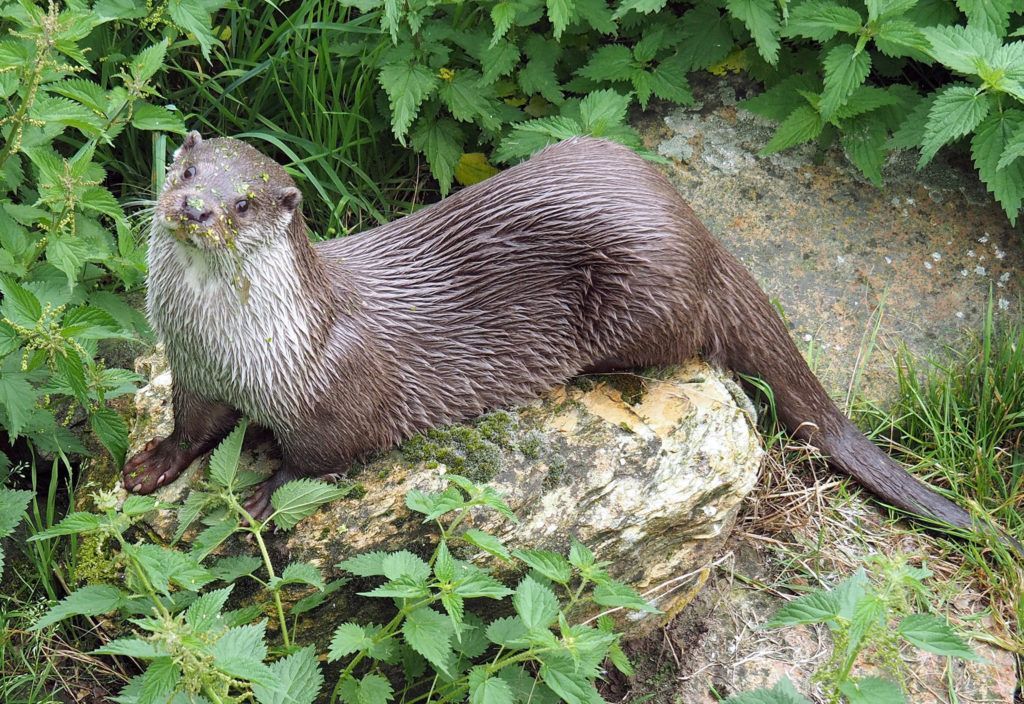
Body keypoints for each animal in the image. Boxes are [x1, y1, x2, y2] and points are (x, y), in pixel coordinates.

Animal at [124, 130, 976, 532]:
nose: (195, 209)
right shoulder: (196, 372)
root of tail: (700, 230)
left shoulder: (338, 394)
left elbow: (321, 459)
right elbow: (191, 428)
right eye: (188, 172)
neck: (242, 348)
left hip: (647, 290)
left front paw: (262, 497)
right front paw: (149, 465)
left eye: (243, 203)